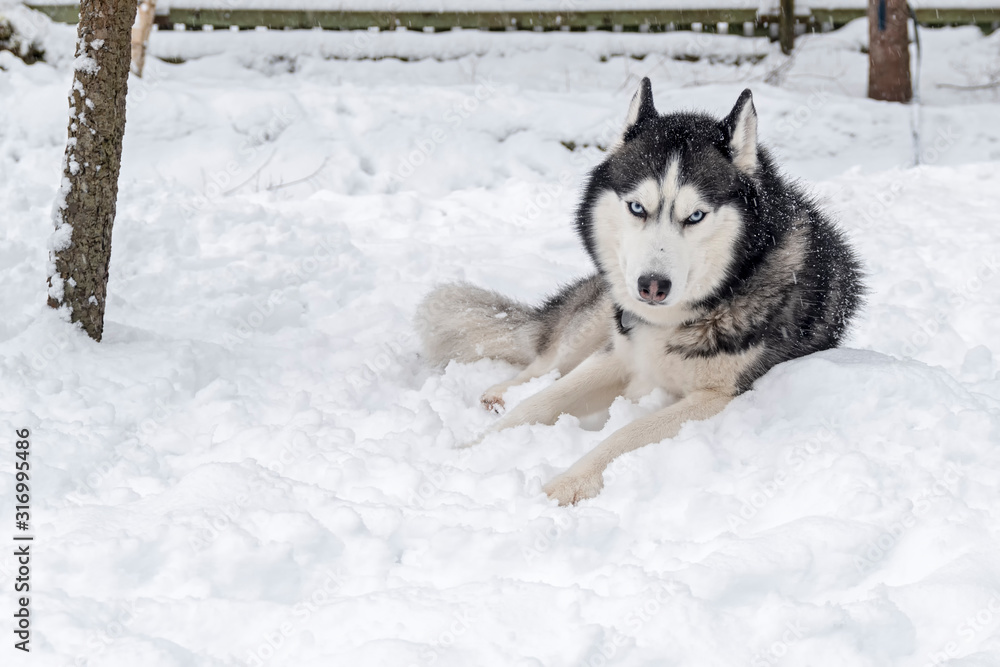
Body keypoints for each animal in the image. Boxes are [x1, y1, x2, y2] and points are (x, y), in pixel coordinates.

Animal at [418, 78, 864, 506]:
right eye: (637, 208)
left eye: (695, 216)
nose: (651, 286)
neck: (682, 318)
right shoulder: (618, 356)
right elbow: (540, 402)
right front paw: (470, 453)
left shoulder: (717, 398)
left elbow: (625, 433)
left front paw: (568, 482)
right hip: (598, 317)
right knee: (543, 363)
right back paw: (501, 394)